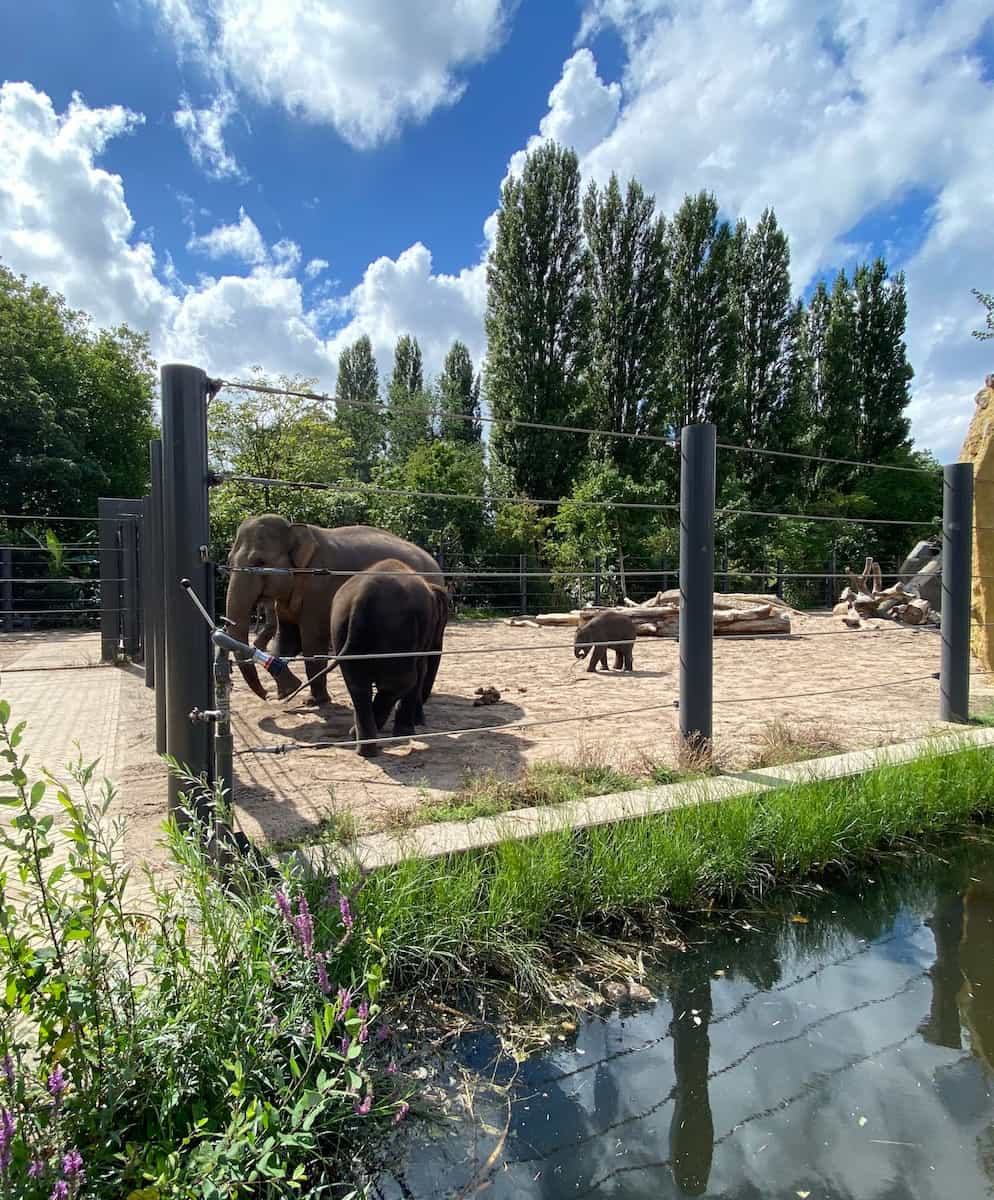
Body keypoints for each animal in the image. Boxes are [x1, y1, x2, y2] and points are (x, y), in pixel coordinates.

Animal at [226, 513, 444, 700]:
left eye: (259, 562)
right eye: (229, 561)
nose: (266, 695)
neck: (296, 529)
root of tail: (435, 563)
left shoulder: (318, 590)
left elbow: (311, 645)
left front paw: (314, 700)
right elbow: (286, 640)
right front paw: (287, 692)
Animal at [326, 556, 451, 753]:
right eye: (443, 623)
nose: (422, 720)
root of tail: (362, 598)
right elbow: (420, 670)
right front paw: (406, 732)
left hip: (340, 626)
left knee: (357, 684)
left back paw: (362, 744)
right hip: (397, 629)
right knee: (402, 681)